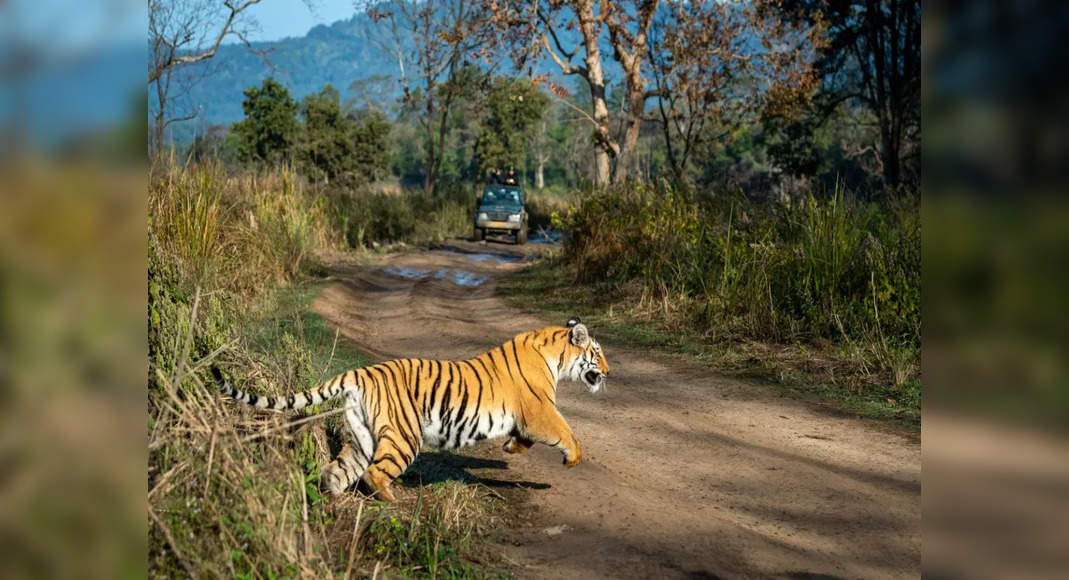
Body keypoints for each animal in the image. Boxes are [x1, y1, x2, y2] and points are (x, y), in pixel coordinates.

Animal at [210, 316, 611, 502]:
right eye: (598, 352)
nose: (608, 372)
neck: (555, 356)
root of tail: (361, 371)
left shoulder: (526, 417)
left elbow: (525, 438)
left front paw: (512, 447)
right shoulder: (539, 409)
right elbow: (566, 431)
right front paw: (572, 459)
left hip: (363, 436)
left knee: (338, 470)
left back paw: (333, 499)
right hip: (404, 436)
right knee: (375, 473)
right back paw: (392, 500)